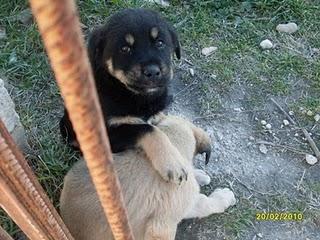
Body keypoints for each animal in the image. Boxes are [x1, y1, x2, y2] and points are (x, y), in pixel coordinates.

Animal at [59, 8, 210, 183]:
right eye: (125, 49)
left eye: (160, 43)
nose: (152, 71)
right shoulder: (107, 136)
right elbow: (147, 129)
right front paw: (173, 162)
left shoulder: (155, 115)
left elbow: (158, 123)